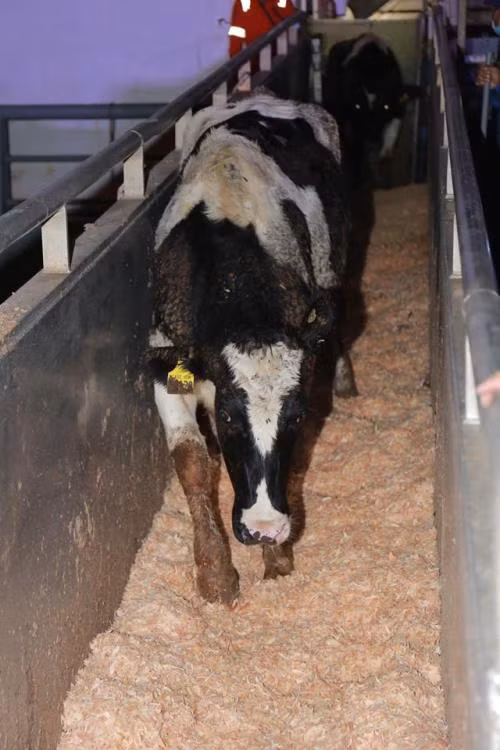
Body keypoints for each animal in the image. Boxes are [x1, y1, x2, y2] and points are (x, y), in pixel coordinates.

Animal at [147, 91, 356, 605]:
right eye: (226, 417)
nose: (264, 527)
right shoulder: (166, 362)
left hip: (334, 270)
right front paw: (216, 574)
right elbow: (191, 461)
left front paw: (277, 560)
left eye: (297, 417)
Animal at [323, 33, 420, 187]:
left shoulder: (397, 110)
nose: (371, 135)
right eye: (357, 106)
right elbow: (356, 150)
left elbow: (388, 147)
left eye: (386, 106)